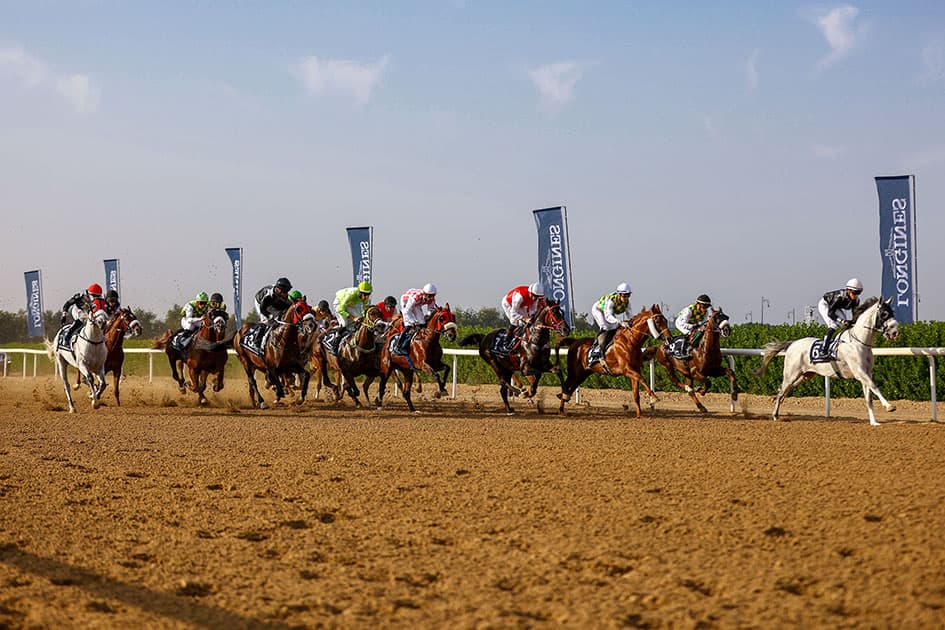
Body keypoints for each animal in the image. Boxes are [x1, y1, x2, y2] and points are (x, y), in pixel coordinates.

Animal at [760, 298, 900, 428]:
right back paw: (775, 415)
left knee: (784, 390)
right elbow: (874, 386)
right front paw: (889, 406)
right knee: (782, 390)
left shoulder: (867, 373)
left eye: (893, 312)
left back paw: (775, 404)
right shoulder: (859, 372)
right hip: (791, 374)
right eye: (884, 314)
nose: (895, 332)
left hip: (805, 376)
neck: (859, 342)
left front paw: (874, 422)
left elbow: (869, 398)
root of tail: (793, 344)